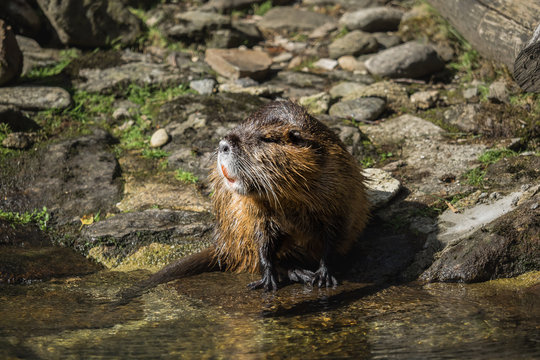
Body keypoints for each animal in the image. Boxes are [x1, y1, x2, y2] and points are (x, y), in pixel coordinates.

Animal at [120, 100, 370, 298]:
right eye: (238, 130)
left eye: (266, 138)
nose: (223, 144)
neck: (288, 200)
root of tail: (221, 247)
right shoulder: (251, 211)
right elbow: (262, 240)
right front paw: (267, 280)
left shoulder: (339, 192)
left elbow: (333, 235)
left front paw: (324, 275)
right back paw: (299, 272)